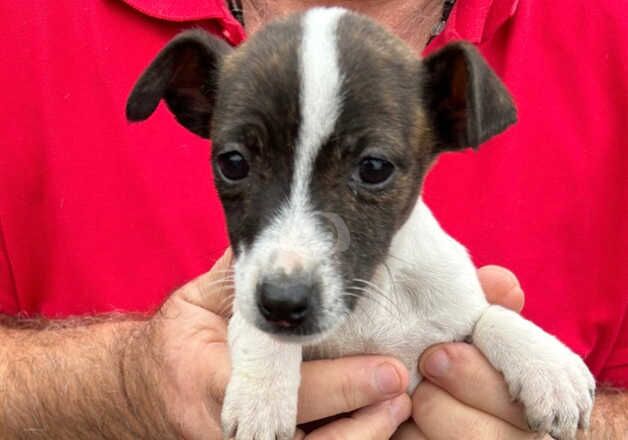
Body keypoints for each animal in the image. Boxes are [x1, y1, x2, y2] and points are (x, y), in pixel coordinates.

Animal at [126, 6, 592, 440]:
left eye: (374, 168)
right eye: (233, 163)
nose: (283, 301)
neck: (370, 298)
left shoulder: (450, 314)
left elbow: (488, 316)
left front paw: (549, 366)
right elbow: (257, 329)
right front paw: (261, 397)